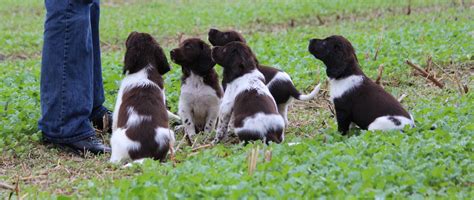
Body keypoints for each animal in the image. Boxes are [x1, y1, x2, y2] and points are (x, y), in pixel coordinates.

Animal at [110, 31, 175, 162]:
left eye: (132, 37)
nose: (132, 31)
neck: (145, 68)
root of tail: (146, 155)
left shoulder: (117, 108)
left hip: (116, 138)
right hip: (169, 133)